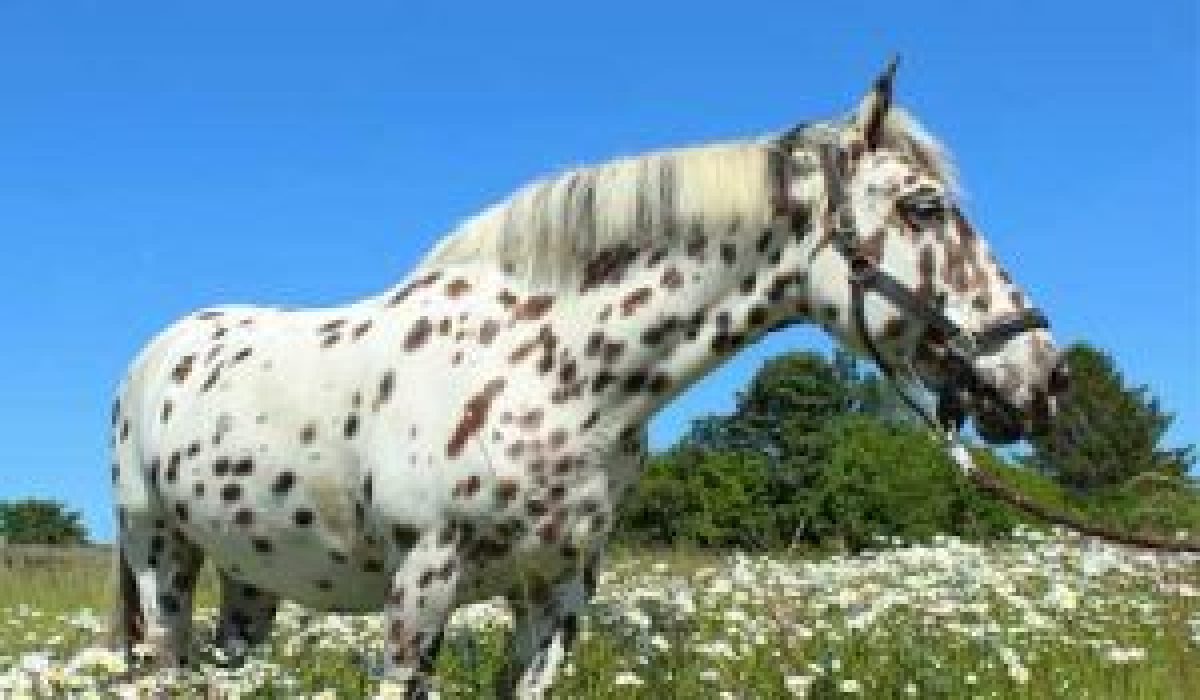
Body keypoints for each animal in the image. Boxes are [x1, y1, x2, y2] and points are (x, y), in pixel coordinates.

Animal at [108, 61, 1068, 697]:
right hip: (160, 559)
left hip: (250, 583)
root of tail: (154, 356)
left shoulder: (555, 596)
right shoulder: (423, 583)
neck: (551, 372)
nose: (1045, 378)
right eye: (923, 208)